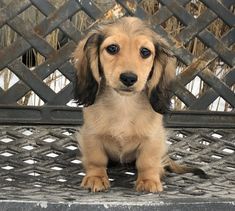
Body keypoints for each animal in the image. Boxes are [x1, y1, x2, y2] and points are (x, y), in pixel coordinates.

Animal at [72, 16, 207, 193]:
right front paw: (96, 177)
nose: (129, 78)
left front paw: (148, 180)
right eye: (112, 48)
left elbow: (147, 161)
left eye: (145, 52)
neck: (124, 104)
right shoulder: (91, 135)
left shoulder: (153, 138)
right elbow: (96, 159)